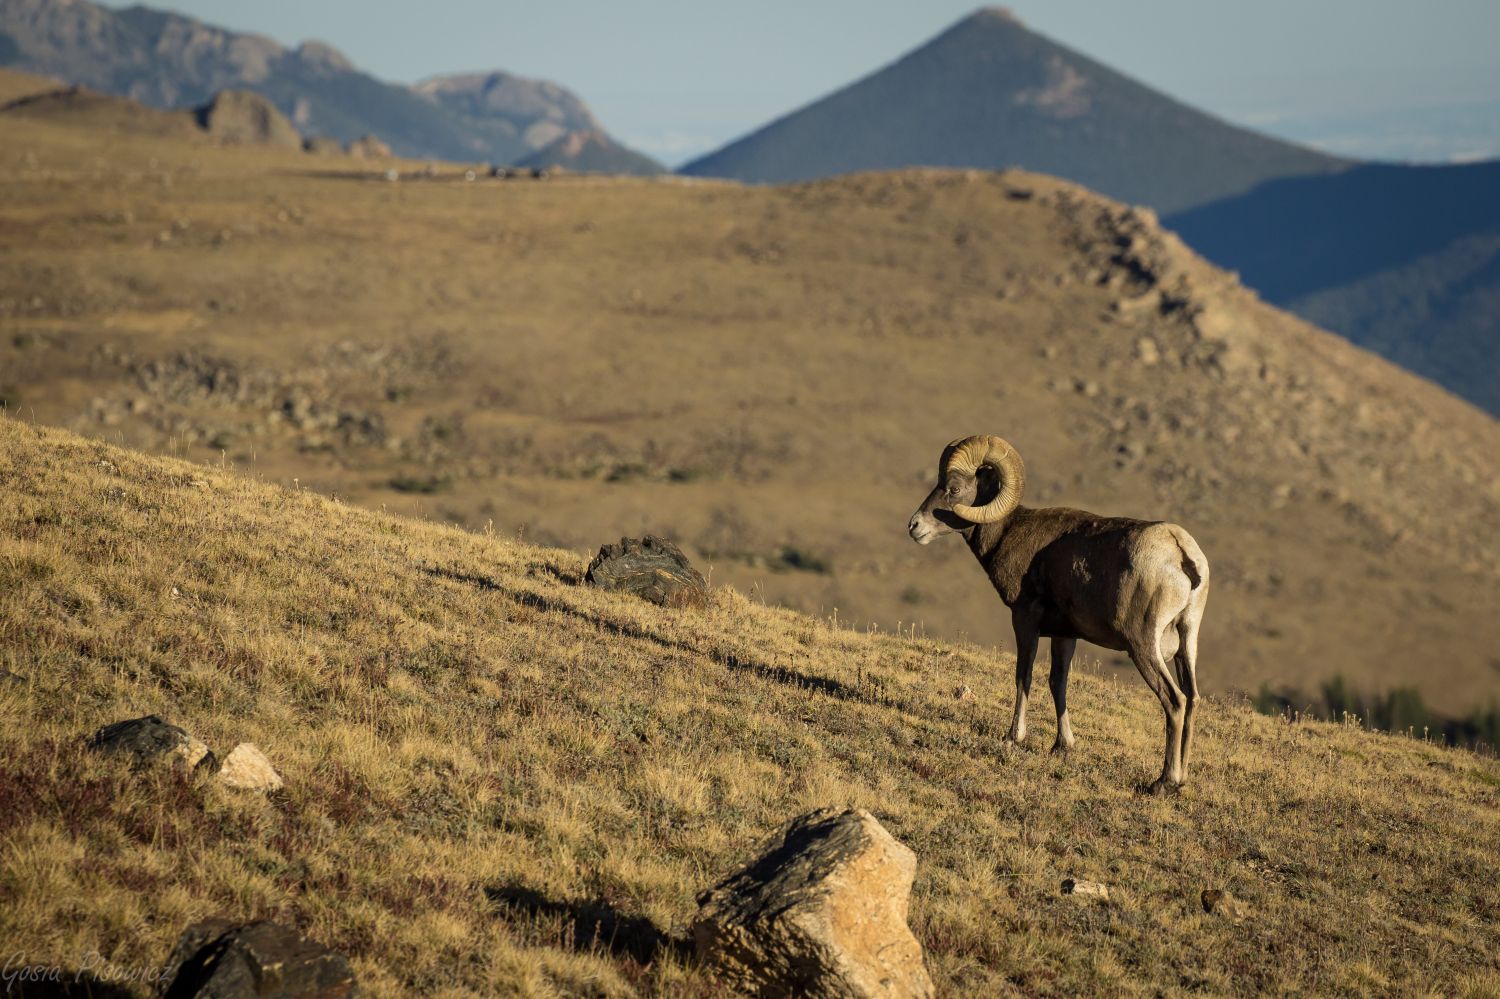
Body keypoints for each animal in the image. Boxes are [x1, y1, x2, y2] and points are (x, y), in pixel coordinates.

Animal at [906, 432, 1212, 792]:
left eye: (953, 489)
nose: (914, 527)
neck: (1010, 533)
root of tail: (1181, 555)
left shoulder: (1025, 619)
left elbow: (1023, 676)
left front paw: (1013, 738)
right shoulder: (1064, 636)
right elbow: (1058, 683)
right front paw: (1061, 746)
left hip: (1142, 647)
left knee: (1175, 701)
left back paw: (1164, 782)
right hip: (1186, 643)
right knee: (1192, 699)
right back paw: (1181, 781)